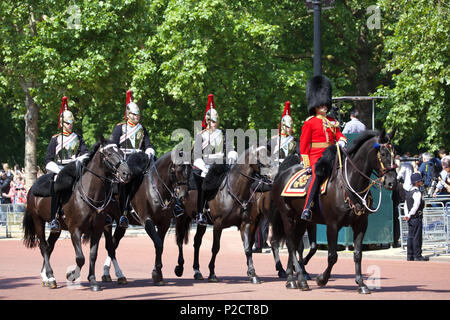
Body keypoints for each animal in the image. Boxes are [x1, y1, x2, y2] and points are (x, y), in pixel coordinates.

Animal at [22, 139, 131, 292]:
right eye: (109, 153)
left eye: (121, 152)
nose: (126, 173)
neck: (91, 195)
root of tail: (32, 188)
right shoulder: (75, 230)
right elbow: (80, 258)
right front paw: (72, 275)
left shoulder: (98, 229)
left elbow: (93, 255)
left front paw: (93, 281)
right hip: (38, 221)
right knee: (43, 246)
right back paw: (50, 277)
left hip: (57, 228)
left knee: (49, 247)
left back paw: (46, 277)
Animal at [100, 150, 192, 284]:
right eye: (178, 168)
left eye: (190, 169)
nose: (184, 196)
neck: (156, 188)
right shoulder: (147, 221)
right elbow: (158, 244)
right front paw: (156, 273)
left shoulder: (164, 223)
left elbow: (161, 244)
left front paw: (160, 272)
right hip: (107, 221)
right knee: (110, 245)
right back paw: (110, 273)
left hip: (120, 224)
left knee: (114, 243)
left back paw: (111, 273)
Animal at [174, 146, 268, 284]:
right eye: (260, 158)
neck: (234, 191)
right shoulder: (218, 225)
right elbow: (215, 248)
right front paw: (212, 273)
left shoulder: (245, 223)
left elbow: (247, 247)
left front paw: (253, 273)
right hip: (182, 217)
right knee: (180, 240)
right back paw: (180, 267)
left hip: (202, 223)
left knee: (197, 242)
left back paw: (197, 271)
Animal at [268, 130, 396, 292]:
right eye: (383, 153)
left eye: (395, 153)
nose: (392, 182)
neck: (349, 183)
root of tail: (281, 174)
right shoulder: (332, 225)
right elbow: (332, 256)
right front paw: (322, 279)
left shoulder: (361, 224)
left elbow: (357, 254)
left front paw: (361, 284)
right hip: (288, 217)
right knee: (290, 244)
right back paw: (299, 280)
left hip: (301, 220)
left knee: (295, 244)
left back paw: (292, 278)